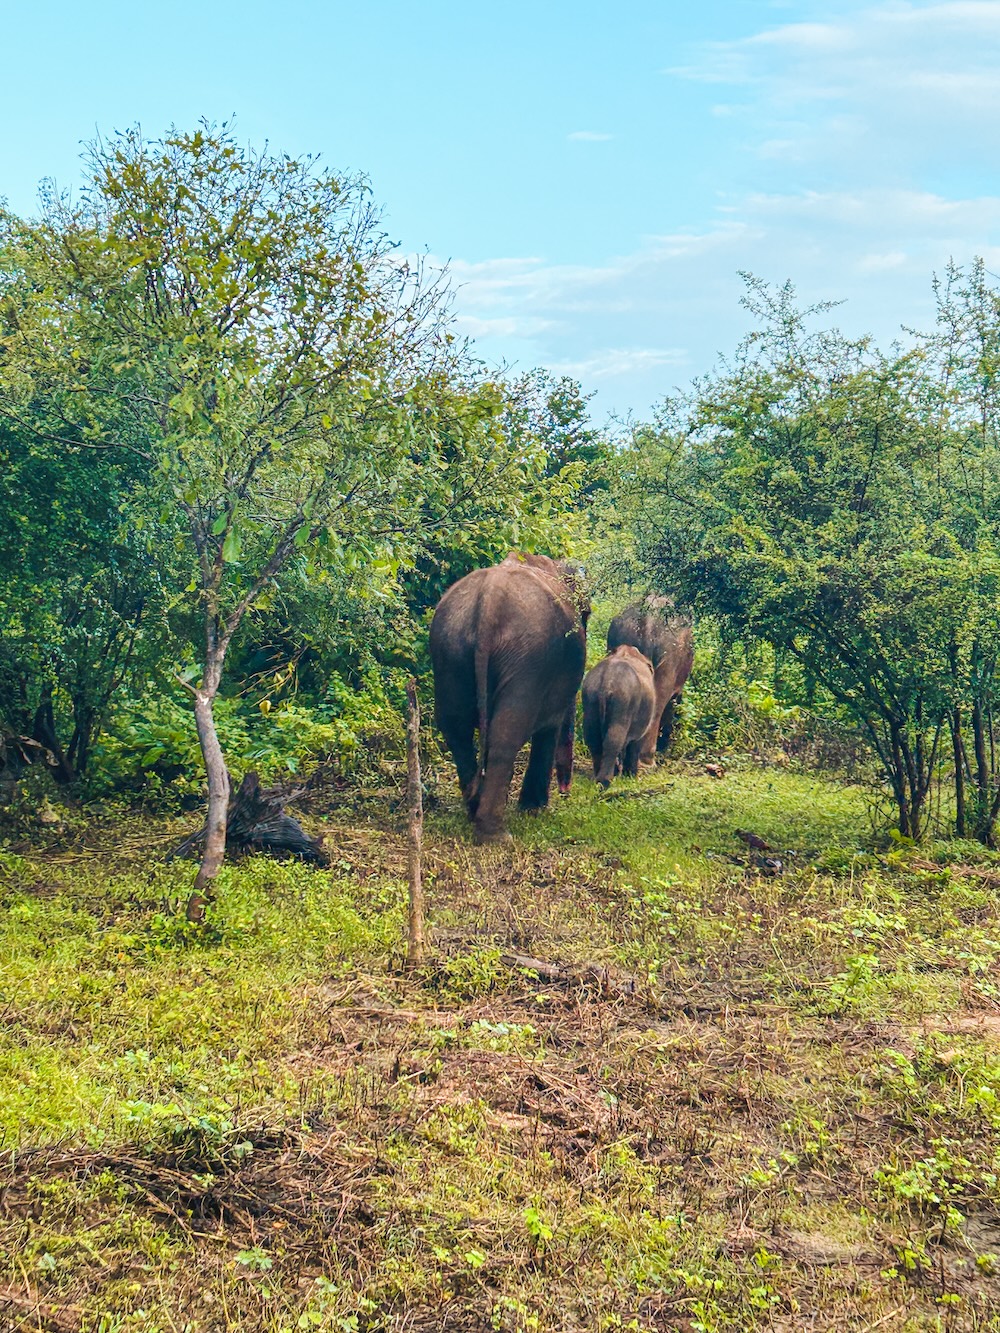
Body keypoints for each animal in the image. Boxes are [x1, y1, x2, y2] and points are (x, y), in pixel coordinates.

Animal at [429, 551, 586, 842]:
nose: (566, 792)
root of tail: (489, 601)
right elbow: (550, 726)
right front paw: (535, 809)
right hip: (527, 658)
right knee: (507, 731)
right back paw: (495, 834)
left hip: (449, 648)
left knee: (456, 729)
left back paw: (475, 810)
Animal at [578, 647, 658, 789]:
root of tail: (605, 683)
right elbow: (635, 742)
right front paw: (631, 777)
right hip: (622, 703)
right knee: (614, 738)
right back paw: (604, 782)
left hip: (590, 699)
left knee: (593, 738)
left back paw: (597, 777)